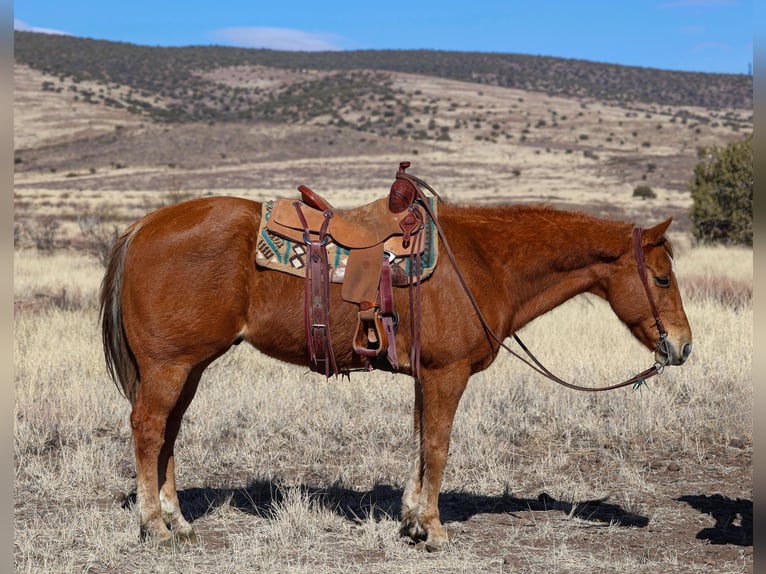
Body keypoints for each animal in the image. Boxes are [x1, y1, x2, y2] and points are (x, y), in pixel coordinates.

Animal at [99, 192, 692, 552]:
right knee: (148, 430)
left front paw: (410, 518)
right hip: (170, 365)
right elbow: (438, 446)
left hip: (190, 366)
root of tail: (143, 226)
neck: (481, 261)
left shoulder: (428, 376)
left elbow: (421, 443)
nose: (683, 346)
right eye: (662, 278)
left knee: (169, 433)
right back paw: (154, 526)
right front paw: (433, 529)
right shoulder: (447, 373)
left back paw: (178, 521)